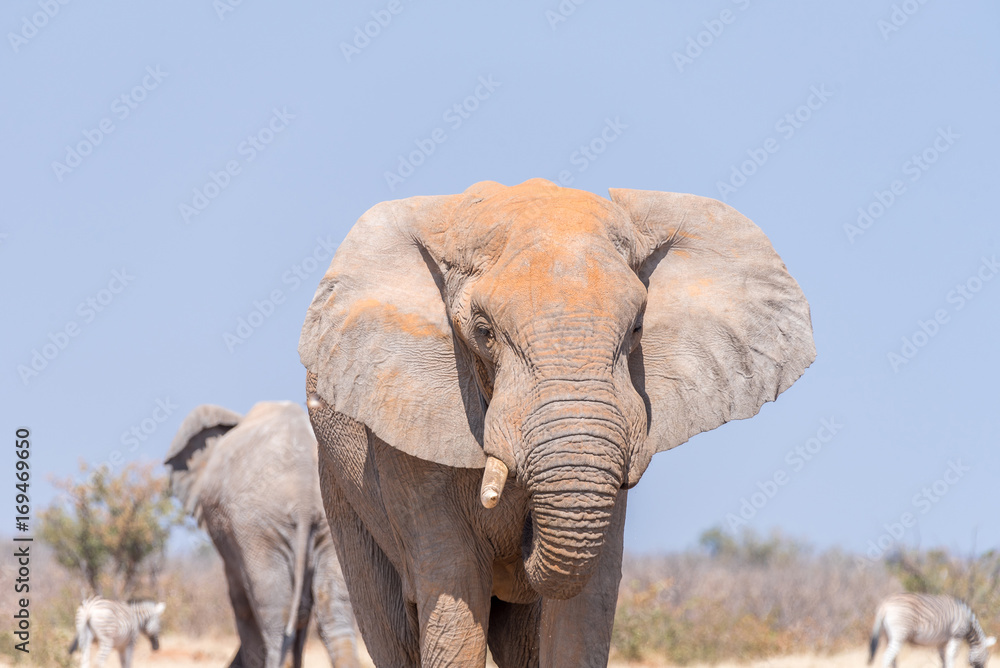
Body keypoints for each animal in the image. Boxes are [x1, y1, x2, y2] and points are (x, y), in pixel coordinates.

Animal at [164, 401, 361, 668]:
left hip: (257, 528)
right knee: (333, 613)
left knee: (276, 615)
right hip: (331, 521)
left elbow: (241, 602)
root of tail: (303, 496)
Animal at [298, 178, 816, 667]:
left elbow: (583, 609)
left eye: (637, 329)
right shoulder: (408, 439)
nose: (521, 540)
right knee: (392, 628)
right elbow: (454, 586)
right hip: (341, 490)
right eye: (483, 332)